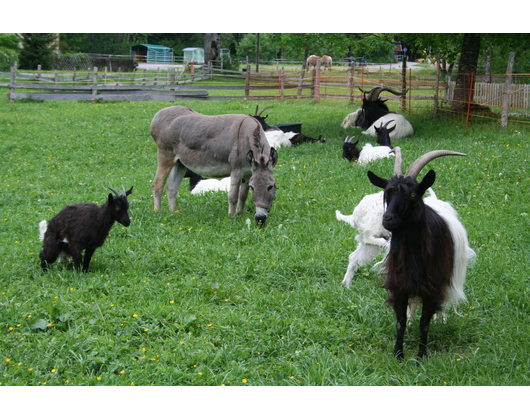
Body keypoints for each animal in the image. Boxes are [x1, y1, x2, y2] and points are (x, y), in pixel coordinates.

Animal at [364, 146, 470, 360]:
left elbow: (425, 323)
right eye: (387, 194)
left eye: (413, 194)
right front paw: (398, 353)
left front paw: (421, 355)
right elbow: (400, 323)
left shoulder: (432, 287)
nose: (388, 219)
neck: (413, 256)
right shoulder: (399, 285)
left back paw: (440, 319)